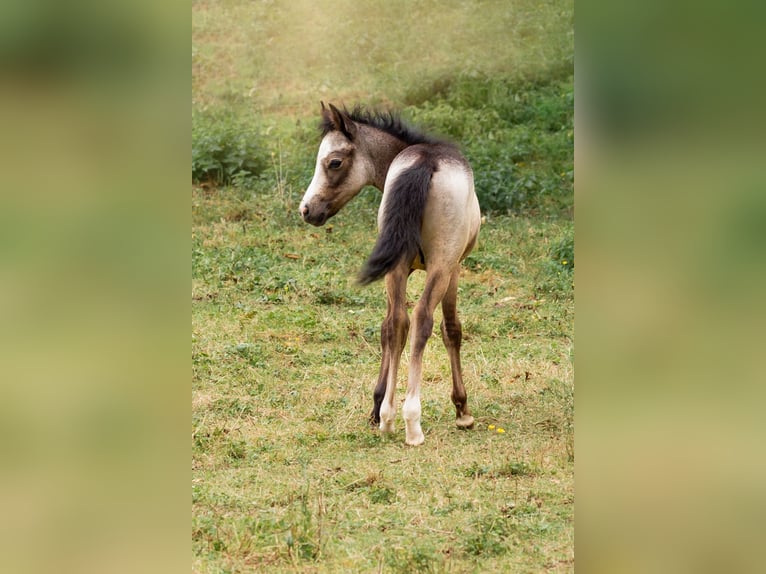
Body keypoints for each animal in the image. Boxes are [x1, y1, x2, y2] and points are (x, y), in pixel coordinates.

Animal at [300, 103, 480, 448]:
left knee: (398, 322)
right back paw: (412, 422)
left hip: (397, 268)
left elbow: (387, 329)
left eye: (334, 162)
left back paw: (388, 418)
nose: (306, 209)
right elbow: (452, 329)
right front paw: (462, 409)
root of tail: (425, 162)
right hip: (440, 265)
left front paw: (376, 406)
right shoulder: (454, 268)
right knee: (422, 319)